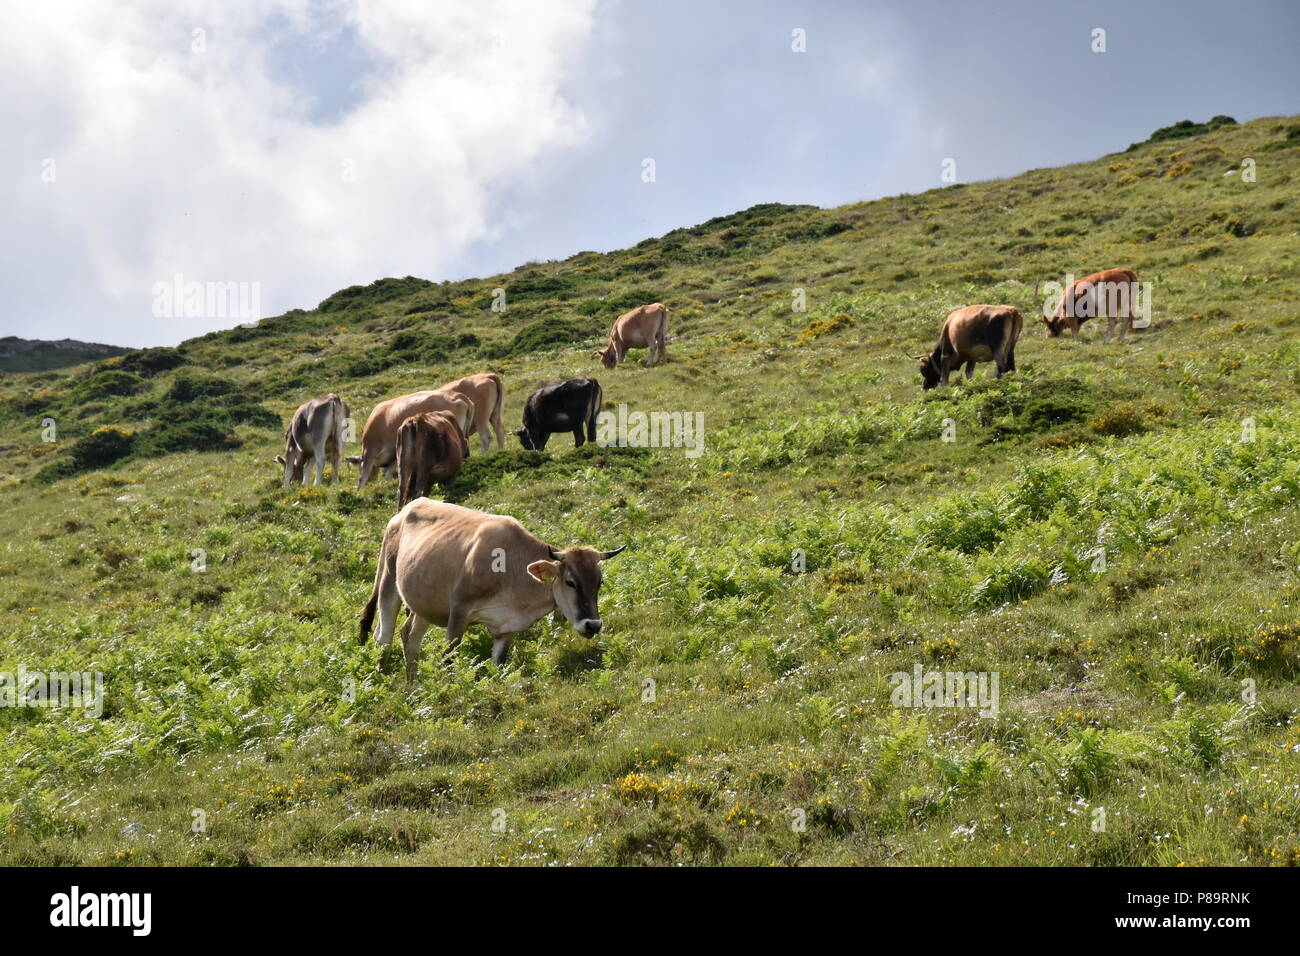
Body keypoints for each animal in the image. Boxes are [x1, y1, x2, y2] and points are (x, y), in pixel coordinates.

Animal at [353, 496, 621, 676]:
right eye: (570, 582)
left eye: (599, 582)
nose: (593, 625)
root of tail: (406, 509)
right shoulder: (459, 612)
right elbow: (449, 657)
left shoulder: (506, 629)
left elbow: (498, 664)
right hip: (389, 583)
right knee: (384, 638)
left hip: (423, 604)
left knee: (409, 638)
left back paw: (414, 688)